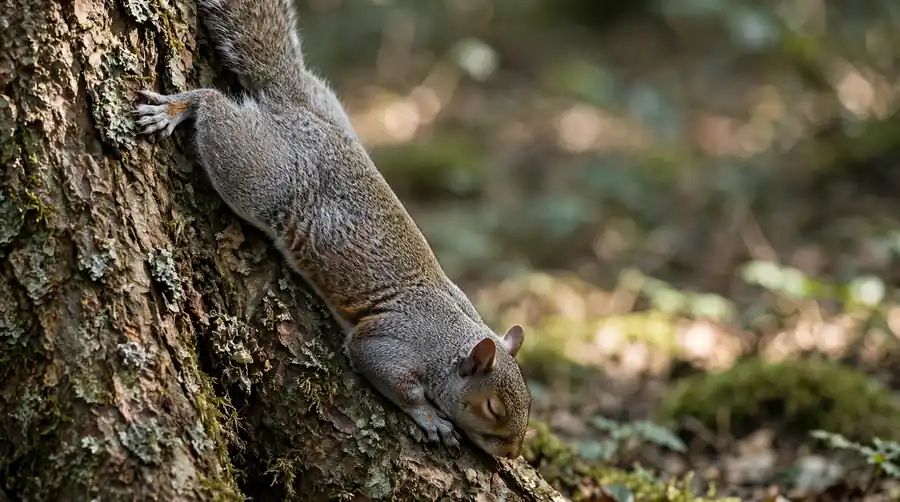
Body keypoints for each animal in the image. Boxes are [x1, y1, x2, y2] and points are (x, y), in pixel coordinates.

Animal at [132, 0, 532, 459]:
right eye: (493, 408)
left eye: (528, 405)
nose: (512, 453)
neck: (450, 339)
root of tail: (296, 111)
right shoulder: (392, 342)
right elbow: (388, 373)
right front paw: (430, 418)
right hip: (261, 176)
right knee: (214, 104)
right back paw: (181, 107)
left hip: (324, 106)